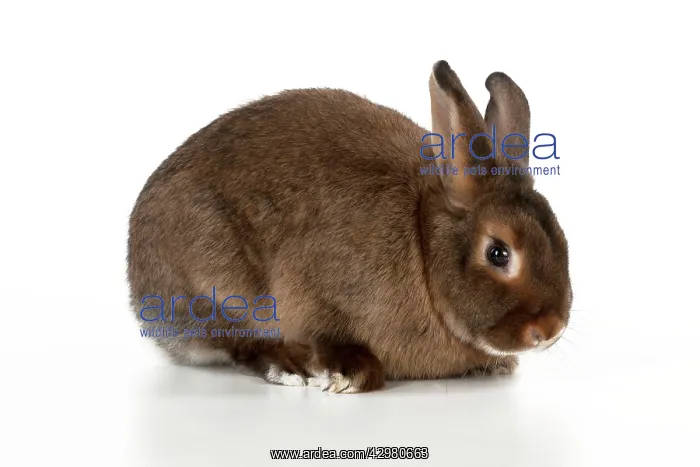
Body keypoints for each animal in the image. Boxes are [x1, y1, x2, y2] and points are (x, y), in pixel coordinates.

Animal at [127, 60, 572, 394]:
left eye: (562, 240)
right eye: (498, 253)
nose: (551, 329)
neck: (423, 247)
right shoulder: (314, 289)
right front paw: (351, 375)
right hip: (221, 287)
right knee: (243, 344)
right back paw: (292, 368)